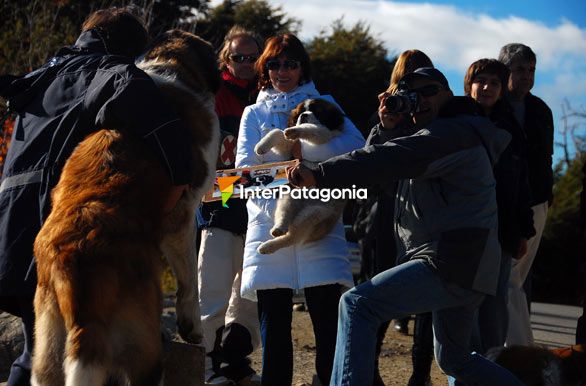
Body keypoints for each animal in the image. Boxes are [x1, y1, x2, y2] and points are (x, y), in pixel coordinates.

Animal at [30, 30, 220, 386]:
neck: (169, 65)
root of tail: (75, 260)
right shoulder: (182, 214)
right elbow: (190, 276)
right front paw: (192, 326)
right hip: (141, 346)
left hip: (46, 341)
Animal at [252, 98, 344, 255]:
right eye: (300, 112)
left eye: (316, 111)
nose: (304, 115)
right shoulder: (291, 147)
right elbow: (278, 133)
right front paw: (261, 147)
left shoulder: (325, 135)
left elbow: (314, 129)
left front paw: (294, 130)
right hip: (290, 195)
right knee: (284, 215)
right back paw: (277, 230)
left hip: (315, 213)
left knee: (292, 237)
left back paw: (268, 245)